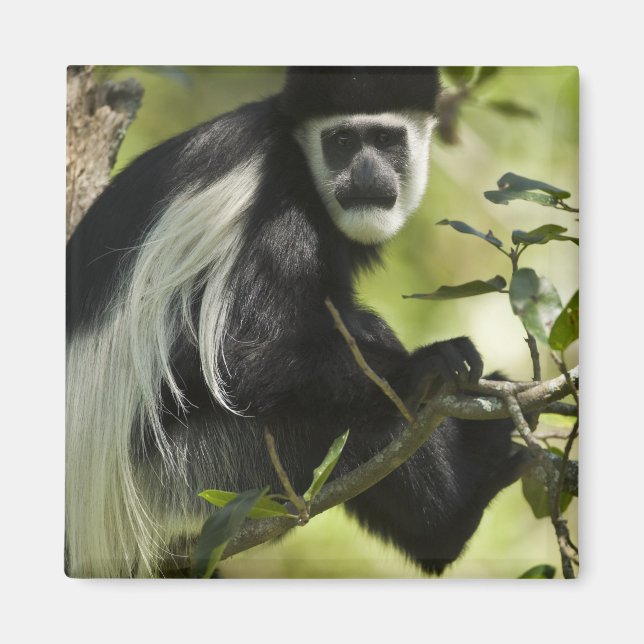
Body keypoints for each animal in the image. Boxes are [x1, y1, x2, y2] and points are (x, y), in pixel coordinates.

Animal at [66, 67, 526, 577]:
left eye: (385, 139)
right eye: (341, 140)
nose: (366, 174)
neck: (296, 155)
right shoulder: (273, 205)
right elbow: (234, 359)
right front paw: (424, 365)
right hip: (201, 475)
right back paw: (454, 516)